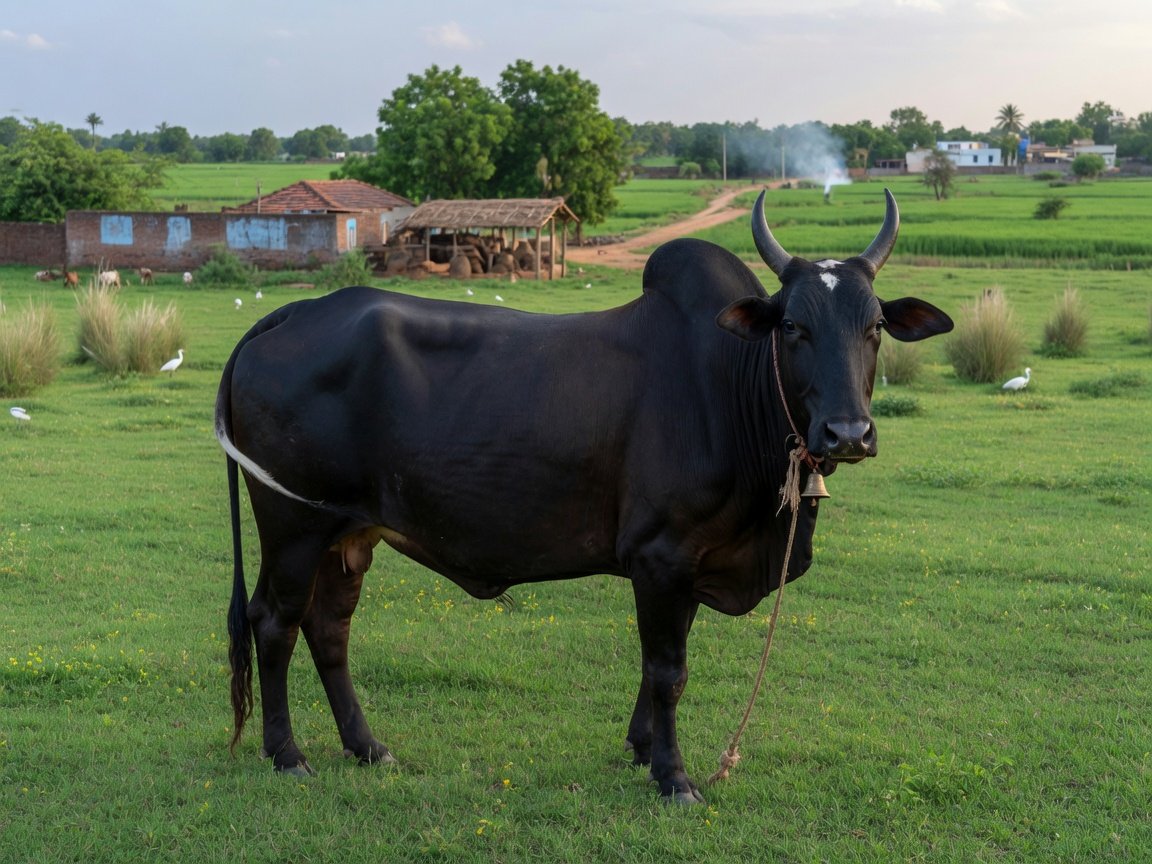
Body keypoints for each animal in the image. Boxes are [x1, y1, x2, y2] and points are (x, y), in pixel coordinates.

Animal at [216, 189, 953, 803]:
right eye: (793, 326)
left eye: (874, 327)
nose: (848, 432)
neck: (727, 383)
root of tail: (294, 312)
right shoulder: (661, 555)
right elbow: (668, 670)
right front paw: (674, 777)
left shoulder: (687, 562)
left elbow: (656, 667)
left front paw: (642, 748)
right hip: (293, 523)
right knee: (274, 623)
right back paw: (288, 755)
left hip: (349, 534)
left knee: (330, 629)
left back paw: (367, 747)